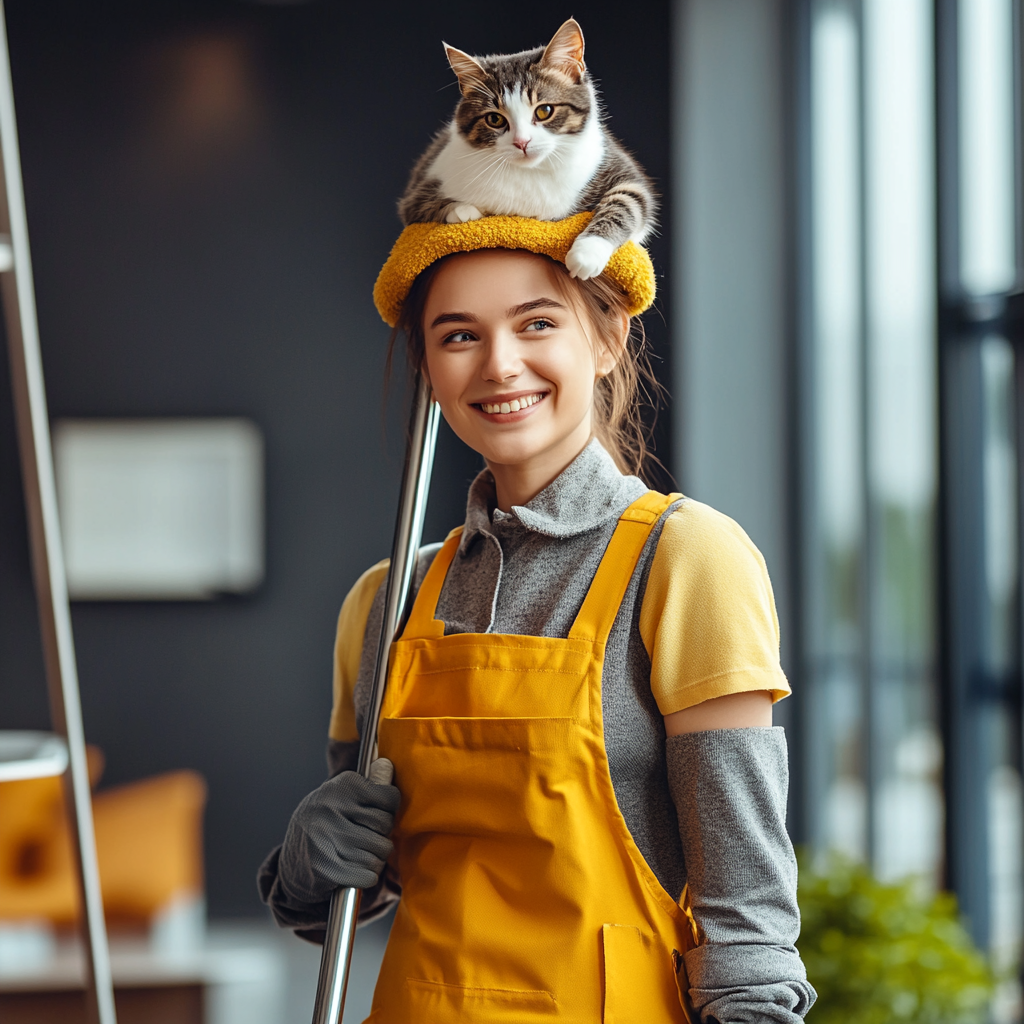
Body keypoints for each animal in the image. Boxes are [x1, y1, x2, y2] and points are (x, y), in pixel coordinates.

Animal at [399, 19, 655, 282]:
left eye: (544, 111)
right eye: (494, 119)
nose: (522, 142)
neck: (532, 172)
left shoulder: (616, 166)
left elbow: (628, 202)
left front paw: (587, 252)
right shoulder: (422, 187)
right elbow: (422, 206)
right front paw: (463, 211)